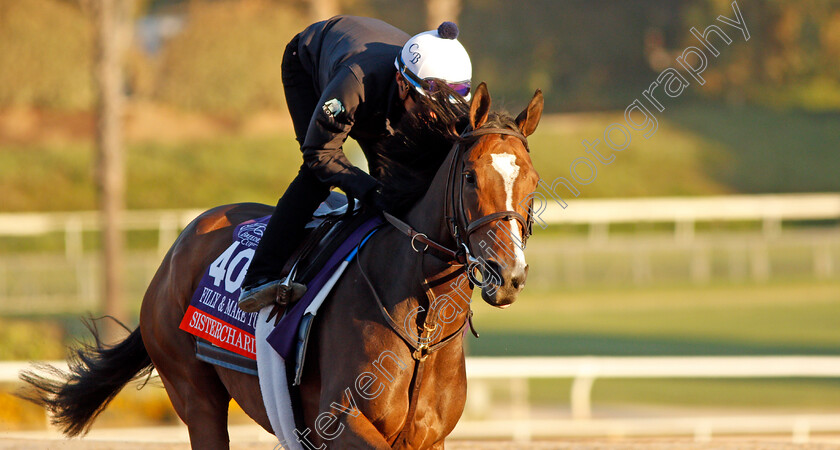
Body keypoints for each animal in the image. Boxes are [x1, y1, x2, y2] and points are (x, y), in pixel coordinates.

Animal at [23, 83, 544, 446]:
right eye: (471, 176)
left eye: (533, 181)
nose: (507, 274)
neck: (420, 327)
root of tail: (178, 248)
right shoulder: (341, 423)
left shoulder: (426, 438)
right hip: (194, 394)